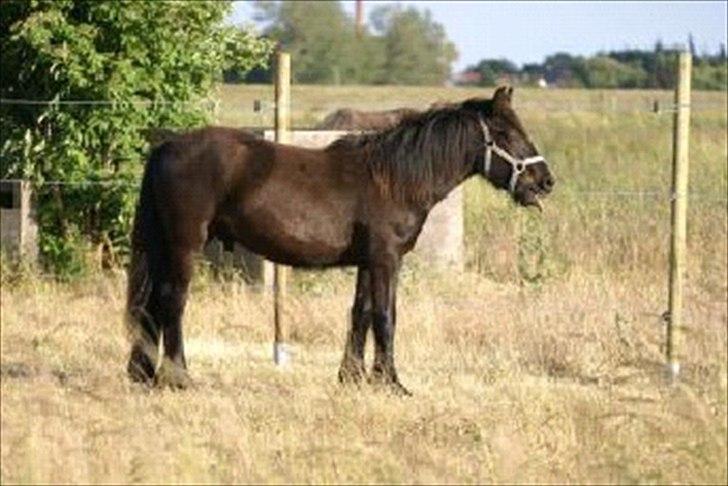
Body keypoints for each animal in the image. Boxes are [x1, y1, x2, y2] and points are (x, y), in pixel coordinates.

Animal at [125, 86, 555, 394]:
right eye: (505, 133)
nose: (546, 181)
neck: (394, 179)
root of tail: (166, 147)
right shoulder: (386, 260)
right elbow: (386, 316)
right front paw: (391, 382)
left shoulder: (368, 262)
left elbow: (360, 313)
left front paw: (353, 377)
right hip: (184, 246)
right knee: (172, 303)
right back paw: (179, 377)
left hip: (164, 246)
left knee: (150, 306)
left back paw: (145, 375)